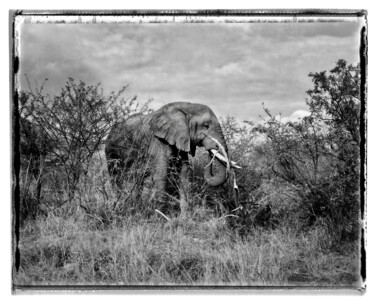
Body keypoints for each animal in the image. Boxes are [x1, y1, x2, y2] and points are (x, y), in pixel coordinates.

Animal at [105, 102, 235, 218]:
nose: (214, 149)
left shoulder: (180, 139)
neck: (184, 107)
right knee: (117, 178)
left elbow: (184, 174)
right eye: (206, 125)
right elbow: (161, 173)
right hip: (112, 151)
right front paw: (160, 217)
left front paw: (184, 218)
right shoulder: (158, 140)